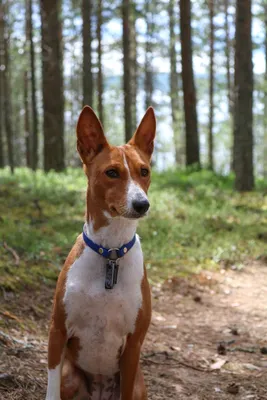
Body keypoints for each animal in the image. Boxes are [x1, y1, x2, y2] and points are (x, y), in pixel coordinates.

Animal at [45, 104, 156, 398]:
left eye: (144, 171)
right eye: (112, 173)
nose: (142, 204)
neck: (111, 252)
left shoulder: (132, 346)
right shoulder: (57, 331)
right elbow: (50, 389)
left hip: (138, 382)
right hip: (71, 377)